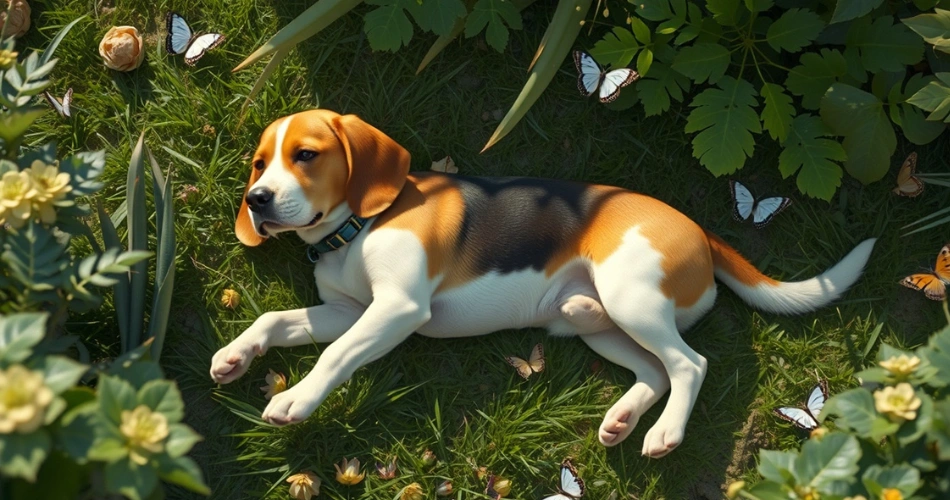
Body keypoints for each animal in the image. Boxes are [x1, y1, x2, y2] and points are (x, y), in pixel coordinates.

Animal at [210, 109, 876, 458]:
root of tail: (700, 230)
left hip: (631, 298)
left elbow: (337, 356)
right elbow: (276, 320)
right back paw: (622, 419)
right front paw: (237, 356)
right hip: (596, 320)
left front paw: (297, 400)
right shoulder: (351, 310)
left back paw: (663, 433)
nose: (257, 199)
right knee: (656, 370)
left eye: (306, 155)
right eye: (258, 163)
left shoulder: (395, 308)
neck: (353, 229)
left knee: (690, 364)